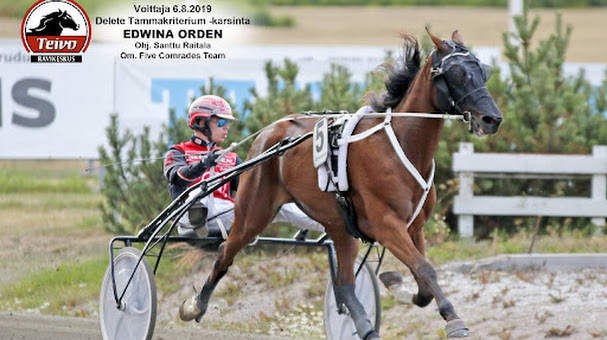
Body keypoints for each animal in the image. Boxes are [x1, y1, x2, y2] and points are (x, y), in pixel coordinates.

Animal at [178, 29, 502, 340]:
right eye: (457, 73)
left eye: (483, 70)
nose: (492, 119)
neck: (401, 144)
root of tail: (269, 131)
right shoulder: (387, 225)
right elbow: (425, 269)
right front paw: (455, 320)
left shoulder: (414, 226)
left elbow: (422, 285)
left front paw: (396, 284)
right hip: (253, 213)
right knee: (225, 253)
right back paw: (195, 305)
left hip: (339, 226)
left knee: (345, 285)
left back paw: (368, 329)